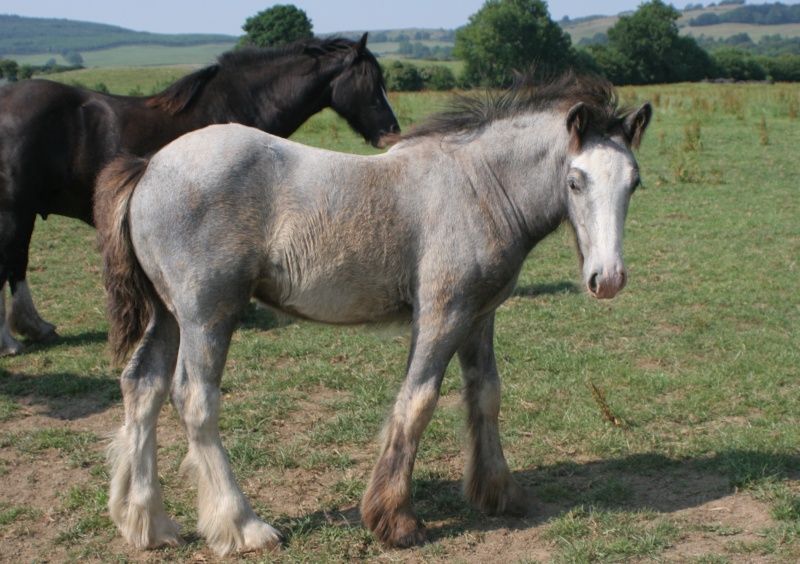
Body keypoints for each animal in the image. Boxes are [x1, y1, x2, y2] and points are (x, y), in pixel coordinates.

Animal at [0, 34, 398, 352]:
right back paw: (11, 341)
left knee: (16, 264)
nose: (391, 132)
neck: (238, 105)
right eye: (370, 80)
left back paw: (35, 327)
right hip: (15, 209)